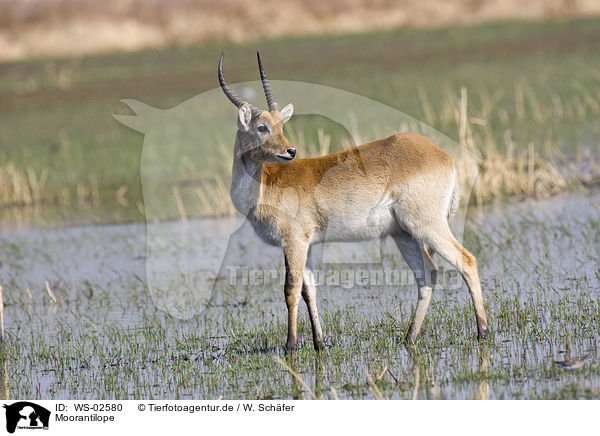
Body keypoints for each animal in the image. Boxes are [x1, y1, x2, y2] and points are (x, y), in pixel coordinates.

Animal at [218, 52, 490, 350]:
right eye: (262, 126)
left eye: (280, 125)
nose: (290, 151)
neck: (266, 184)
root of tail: (443, 155)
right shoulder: (306, 244)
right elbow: (309, 290)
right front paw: (319, 344)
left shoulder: (294, 240)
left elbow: (291, 290)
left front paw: (290, 347)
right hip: (404, 234)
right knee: (427, 275)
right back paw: (409, 337)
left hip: (427, 226)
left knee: (466, 261)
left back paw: (482, 333)